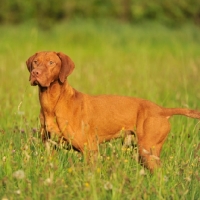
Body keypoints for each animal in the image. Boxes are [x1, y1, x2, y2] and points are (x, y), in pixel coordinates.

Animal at [26, 51, 200, 172]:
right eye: (35, 62)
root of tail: (161, 110)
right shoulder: (50, 148)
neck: (52, 103)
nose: (35, 73)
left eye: (51, 62)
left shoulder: (90, 149)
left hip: (147, 151)